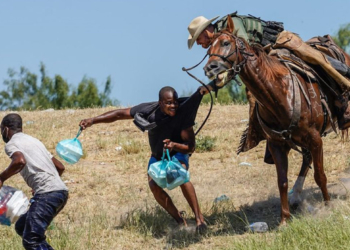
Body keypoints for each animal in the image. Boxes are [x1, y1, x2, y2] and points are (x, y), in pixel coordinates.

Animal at [202, 16, 344, 226]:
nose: (209, 68)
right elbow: (282, 181)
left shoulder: (316, 139)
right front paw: (284, 219)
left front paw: (328, 206)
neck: (280, 93)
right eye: (208, 49)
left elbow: (320, 175)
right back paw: (296, 196)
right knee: (306, 159)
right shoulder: (277, 144)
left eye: (226, 43)